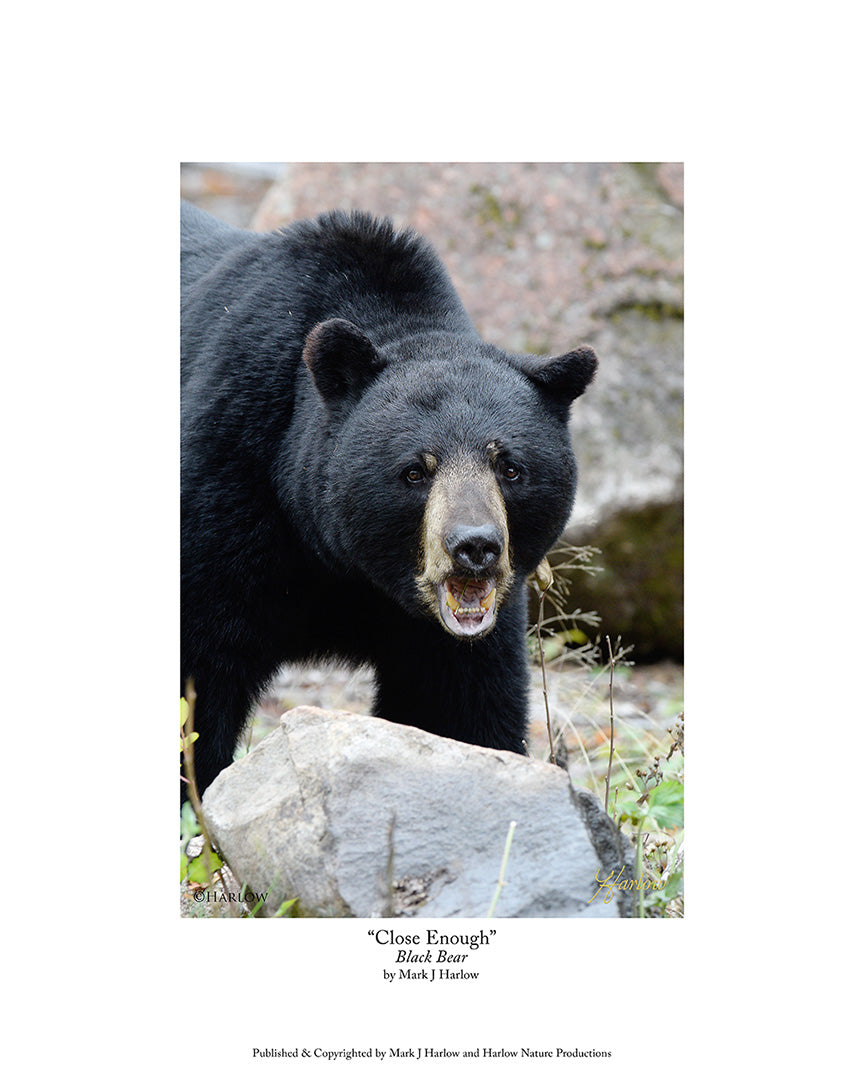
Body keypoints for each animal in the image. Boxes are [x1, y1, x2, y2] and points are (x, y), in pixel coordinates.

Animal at [181, 201, 597, 803]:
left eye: (511, 468)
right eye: (415, 471)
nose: (475, 547)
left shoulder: (454, 630)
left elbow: (457, 702)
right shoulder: (227, 477)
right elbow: (198, 670)